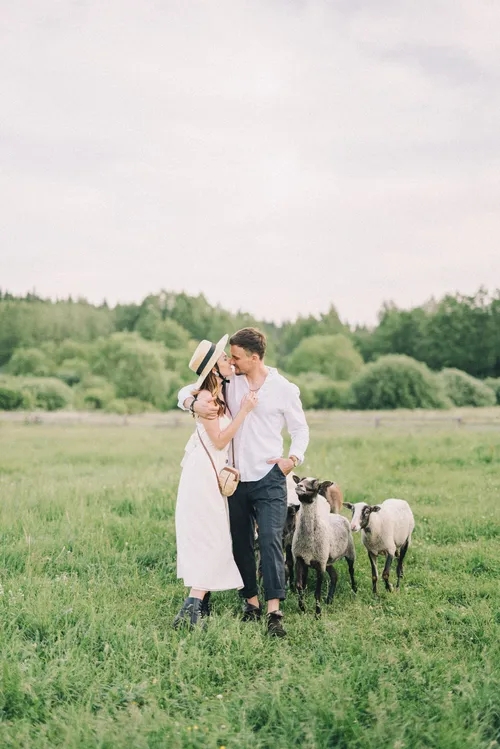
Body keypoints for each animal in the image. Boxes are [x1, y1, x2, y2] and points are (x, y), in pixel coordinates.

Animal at [292, 474, 358, 612]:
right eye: (301, 479)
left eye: (316, 484)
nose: (299, 486)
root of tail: (337, 516)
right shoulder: (300, 559)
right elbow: (300, 586)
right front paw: (302, 608)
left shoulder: (320, 564)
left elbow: (317, 593)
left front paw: (318, 613)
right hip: (328, 560)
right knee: (334, 576)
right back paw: (329, 600)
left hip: (350, 552)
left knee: (351, 570)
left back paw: (354, 590)